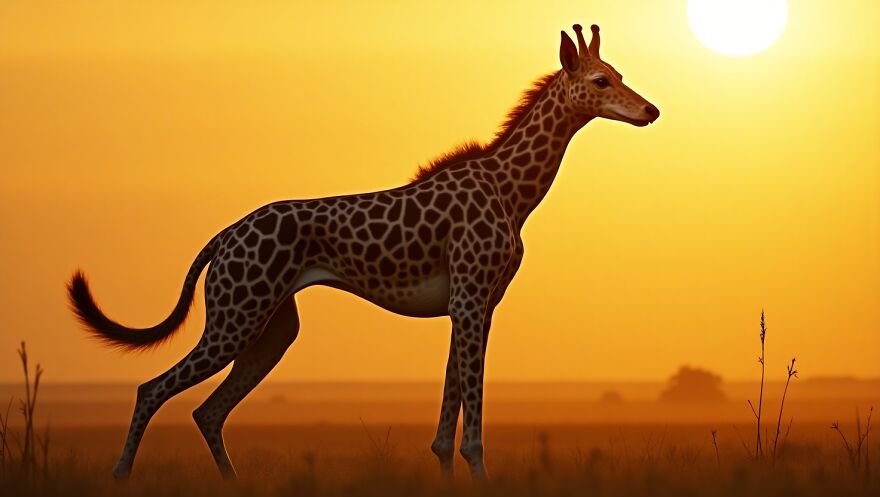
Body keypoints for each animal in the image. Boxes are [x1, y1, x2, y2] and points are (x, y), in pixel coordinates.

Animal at [67, 23, 658, 480]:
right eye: (602, 80)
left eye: (620, 73)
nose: (650, 110)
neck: (513, 191)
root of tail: (225, 236)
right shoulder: (470, 300)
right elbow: (471, 423)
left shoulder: (475, 304)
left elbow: (447, 421)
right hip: (236, 315)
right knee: (153, 389)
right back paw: (120, 477)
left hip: (274, 326)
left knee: (208, 411)